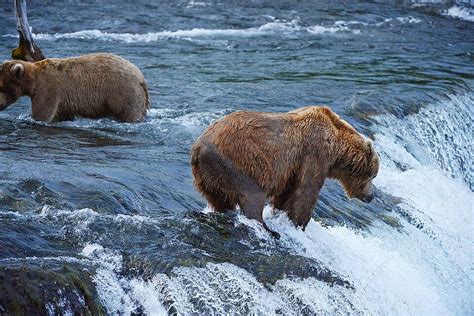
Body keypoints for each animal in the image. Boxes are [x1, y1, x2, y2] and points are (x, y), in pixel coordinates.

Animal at [0, 53, 150, 122]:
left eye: (1, 86)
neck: (33, 82)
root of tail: (141, 78)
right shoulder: (63, 101)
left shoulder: (48, 89)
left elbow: (42, 113)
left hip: (123, 91)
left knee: (128, 112)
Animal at [191, 105, 380, 237]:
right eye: (373, 175)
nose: (371, 196)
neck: (336, 148)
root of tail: (198, 147)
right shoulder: (315, 153)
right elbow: (307, 192)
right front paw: (299, 224)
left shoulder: (293, 168)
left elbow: (288, 192)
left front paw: (282, 214)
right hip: (238, 162)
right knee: (252, 196)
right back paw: (270, 230)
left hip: (208, 175)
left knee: (219, 200)